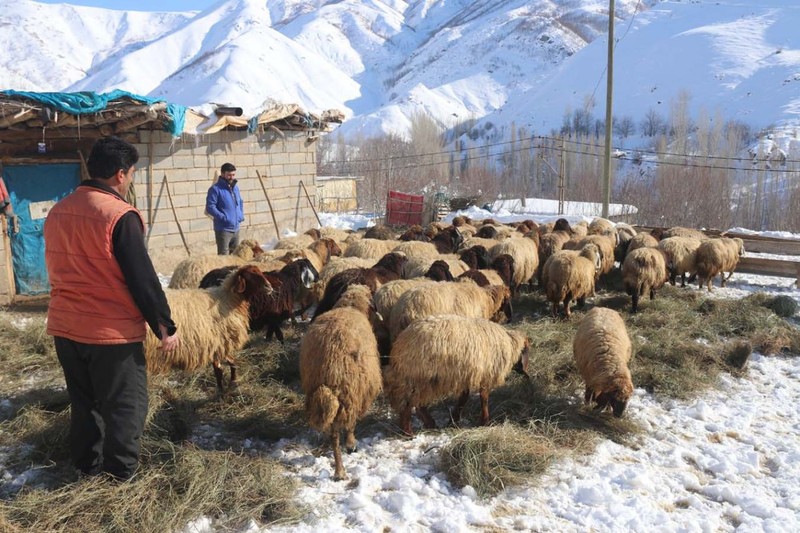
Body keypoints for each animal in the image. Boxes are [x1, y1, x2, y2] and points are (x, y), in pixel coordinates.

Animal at [147, 264, 276, 390]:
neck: (228, 299)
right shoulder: (218, 341)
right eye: (249, 275)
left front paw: (229, 384)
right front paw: (225, 387)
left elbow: (227, 365)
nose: (269, 287)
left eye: (260, 272)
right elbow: (221, 368)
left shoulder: (216, 343)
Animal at [302, 284, 386, 480]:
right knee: (345, 424)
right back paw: (343, 462)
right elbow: (351, 423)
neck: (351, 307)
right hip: (350, 391)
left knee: (333, 435)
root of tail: (329, 363)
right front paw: (351, 443)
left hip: (321, 390)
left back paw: (339, 470)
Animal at [384, 314, 528, 434]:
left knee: (416, 403)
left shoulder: (466, 374)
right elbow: (483, 397)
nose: (526, 375)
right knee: (408, 403)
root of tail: (400, 343)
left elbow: (464, 397)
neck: (510, 345)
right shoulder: (484, 373)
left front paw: (453, 420)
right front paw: (485, 421)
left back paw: (428, 424)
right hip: (419, 376)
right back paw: (408, 432)